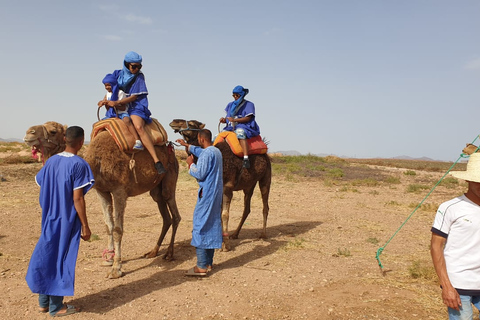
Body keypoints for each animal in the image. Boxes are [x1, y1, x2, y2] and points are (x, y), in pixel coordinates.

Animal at [23, 120, 180, 278]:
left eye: (53, 131)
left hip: (170, 176)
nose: (29, 133)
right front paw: (109, 259)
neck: (97, 163)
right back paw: (153, 252)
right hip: (156, 188)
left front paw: (116, 268)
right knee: (165, 214)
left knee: (174, 213)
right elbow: (108, 226)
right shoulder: (101, 191)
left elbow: (117, 229)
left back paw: (169, 254)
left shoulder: (119, 191)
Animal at [171, 119, 272, 251]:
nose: (174, 122)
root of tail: (266, 154)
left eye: (192, 124)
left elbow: (224, 214)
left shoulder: (227, 187)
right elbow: (218, 214)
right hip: (249, 184)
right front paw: (219, 242)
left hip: (266, 178)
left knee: (265, 205)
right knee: (247, 208)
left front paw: (226, 245)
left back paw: (263, 234)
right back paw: (235, 234)